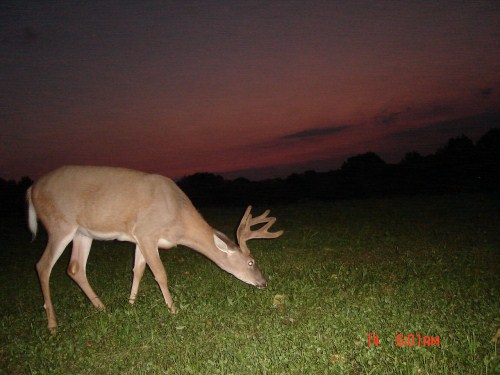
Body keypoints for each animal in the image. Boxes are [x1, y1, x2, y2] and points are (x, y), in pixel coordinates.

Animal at [27, 166, 284, 334]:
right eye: (251, 262)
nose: (264, 282)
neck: (178, 218)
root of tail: (31, 190)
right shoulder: (147, 232)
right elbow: (160, 274)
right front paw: (173, 309)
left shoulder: (141, 238)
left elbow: (138, 270)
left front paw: (130, 304)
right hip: (60, 224)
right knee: (42, 265)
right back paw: (52, 325)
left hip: (83, 233)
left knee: (74, 268)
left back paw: (102, 307)